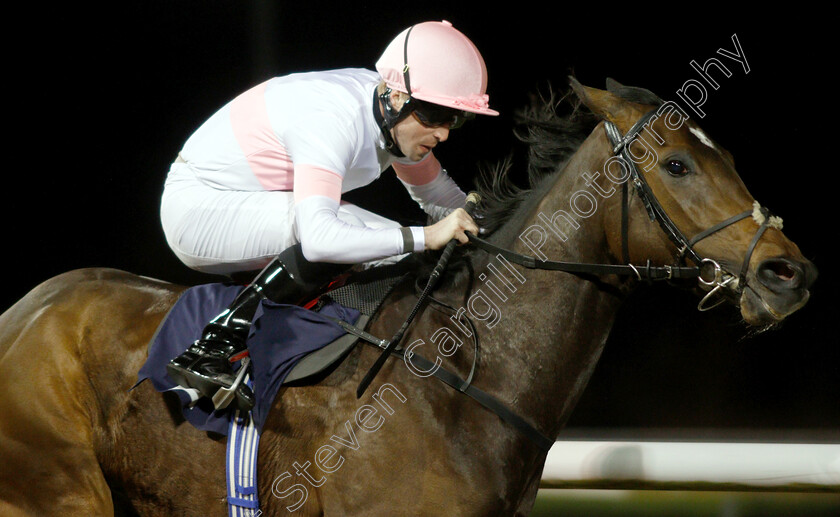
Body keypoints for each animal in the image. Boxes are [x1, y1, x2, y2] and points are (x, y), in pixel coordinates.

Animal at [0, 77, 812, 516]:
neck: (458, 387)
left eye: (726, 155)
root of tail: (24, 311)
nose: (789, 273)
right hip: (61, 489)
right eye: (676, 163)